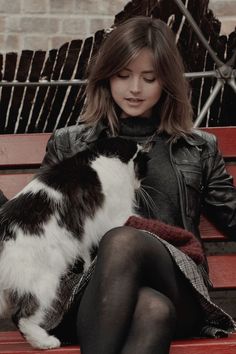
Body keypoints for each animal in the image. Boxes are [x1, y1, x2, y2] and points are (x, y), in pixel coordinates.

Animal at [0, 137, 148, 350]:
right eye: (143, 170)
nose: (139, 185)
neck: (108, 155)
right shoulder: (119, 214)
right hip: (42, 282)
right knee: (22, 317)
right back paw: (46, 342)